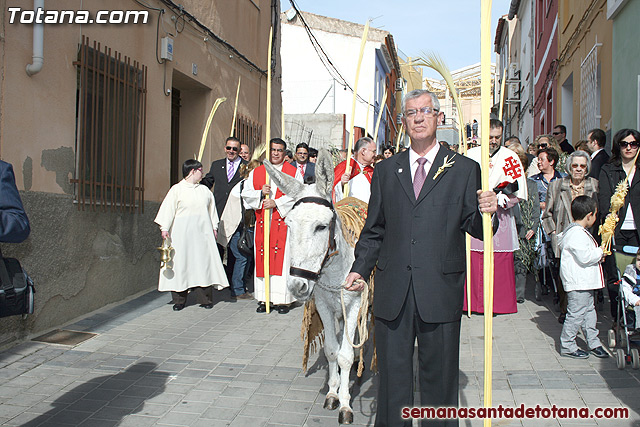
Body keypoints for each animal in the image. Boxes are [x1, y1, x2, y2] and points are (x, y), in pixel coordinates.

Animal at [264, 150, 362, 424]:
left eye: (321, 226)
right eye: (288, 225)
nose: (297, 285)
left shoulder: (355, 305)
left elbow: (346, 355)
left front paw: (346, 405)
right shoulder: (324, 306)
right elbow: (331, 350)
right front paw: (332, 393)